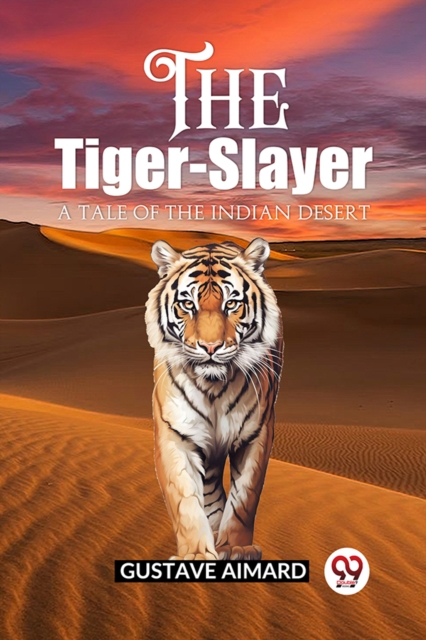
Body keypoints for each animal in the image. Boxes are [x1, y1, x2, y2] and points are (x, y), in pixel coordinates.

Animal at [145, 238, 283, 560]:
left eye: (231, 304)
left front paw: (236, 548)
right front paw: (195, 554)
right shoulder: (175, 435)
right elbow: (185, 502)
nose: (210, 347)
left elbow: (245, 497)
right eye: (187, 304)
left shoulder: (256, 434)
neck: (213, 387)